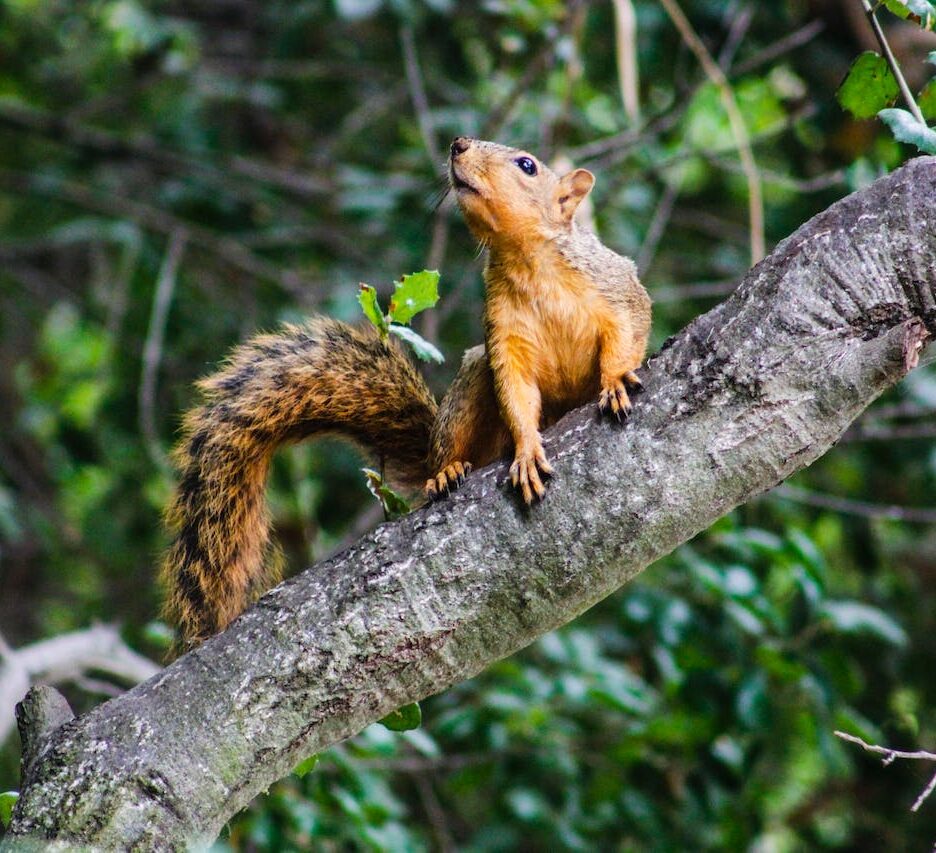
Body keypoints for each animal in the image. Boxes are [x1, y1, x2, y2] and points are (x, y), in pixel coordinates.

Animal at [161, 138, 652, 644]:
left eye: (527, 165)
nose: (458, 144)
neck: (528, 262)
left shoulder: (615, 286)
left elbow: (627, 332)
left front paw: (615, 381)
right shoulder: (504, 337)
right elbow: (516, 394)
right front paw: (527, 450)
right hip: (472, 384)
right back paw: (446, 470)